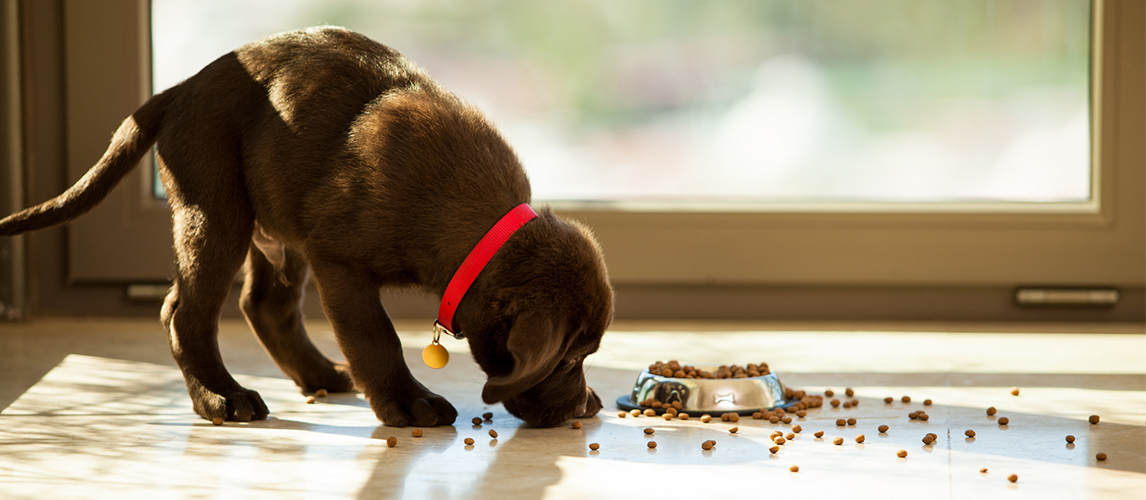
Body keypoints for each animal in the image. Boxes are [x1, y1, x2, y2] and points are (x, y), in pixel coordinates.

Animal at [0, 26, 614, 426]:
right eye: (569, 358)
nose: (586, 408)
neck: (475, 225)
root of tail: (181, 89)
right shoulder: (340, 261)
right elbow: (377, 336)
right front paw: (408, 401)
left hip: (277, 224)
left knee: (264, 305)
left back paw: (317, 373)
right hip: (216, 210)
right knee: (184, 312)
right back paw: (220, 399)